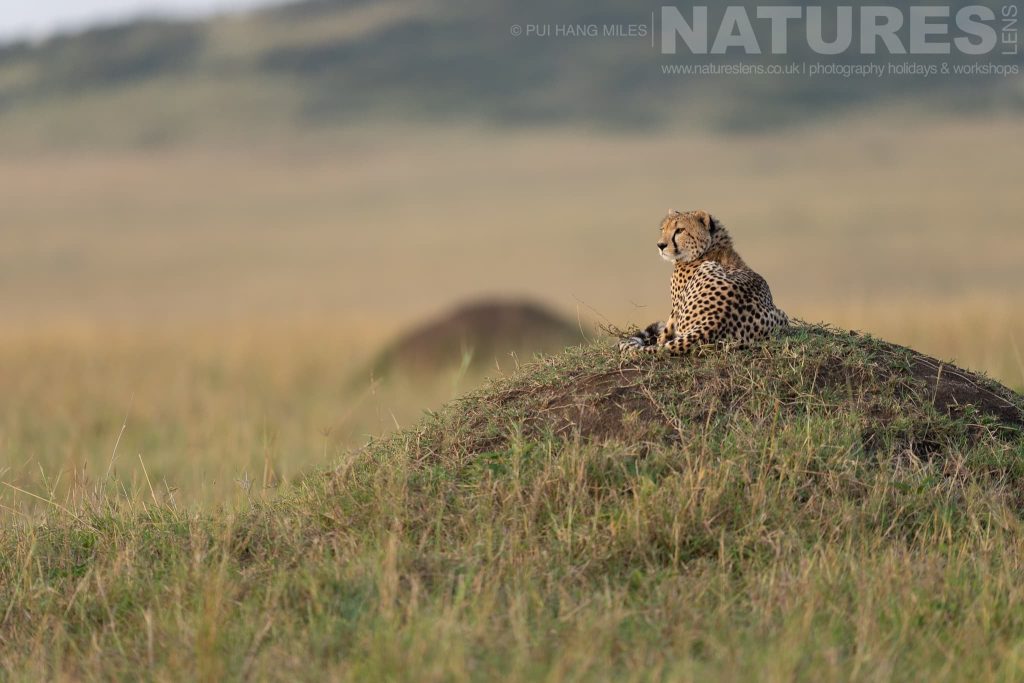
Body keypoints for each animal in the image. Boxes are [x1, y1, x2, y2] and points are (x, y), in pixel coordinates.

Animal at [619, 209, 788, 356]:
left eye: (679, 230)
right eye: (663, 229)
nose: (660, 245)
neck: (709, 247)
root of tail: (714, 321)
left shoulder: (676, 308)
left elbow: (664, 334)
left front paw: (657, 342)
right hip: (782, 316)